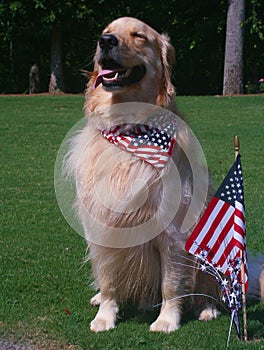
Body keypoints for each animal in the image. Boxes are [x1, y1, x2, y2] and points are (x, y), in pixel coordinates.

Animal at [67, 17, 220, 334]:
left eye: (138, 36)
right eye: (105, 31)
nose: (106, 41)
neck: (129, 127)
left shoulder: (173, 229)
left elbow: (171, 284)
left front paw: (167, 321)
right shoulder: (102, 224)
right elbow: (109, 280)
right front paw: (104, 316)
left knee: (209, 288)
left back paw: (207, 308)